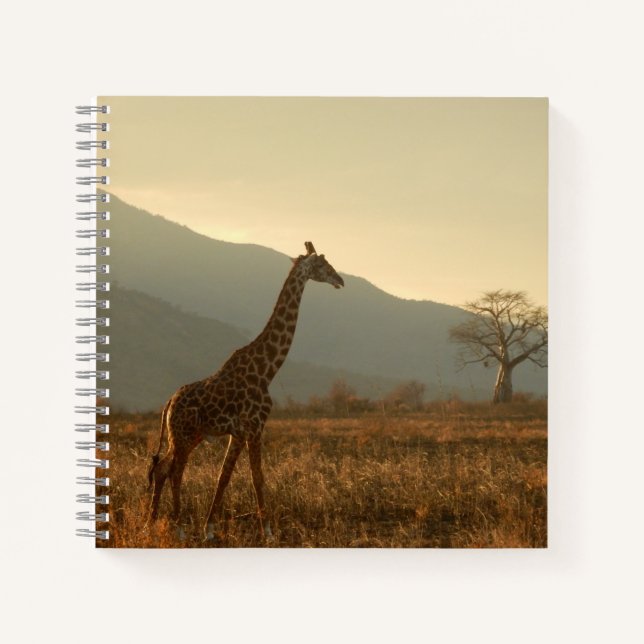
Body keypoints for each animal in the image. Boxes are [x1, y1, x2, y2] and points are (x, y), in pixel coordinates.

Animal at [146, 241, 344, 541]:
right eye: (322, 264)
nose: (340, 280)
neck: (267, 370)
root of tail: (169, 402)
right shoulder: (253, 427)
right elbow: (256, 477)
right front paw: (269, 532)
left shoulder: (238, 433)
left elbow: (224, 477)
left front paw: (209, 529)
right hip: (183, 435)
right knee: (175, 470)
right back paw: (178, 528)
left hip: (185, 436)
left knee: (161, 468)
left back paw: (151, 523)